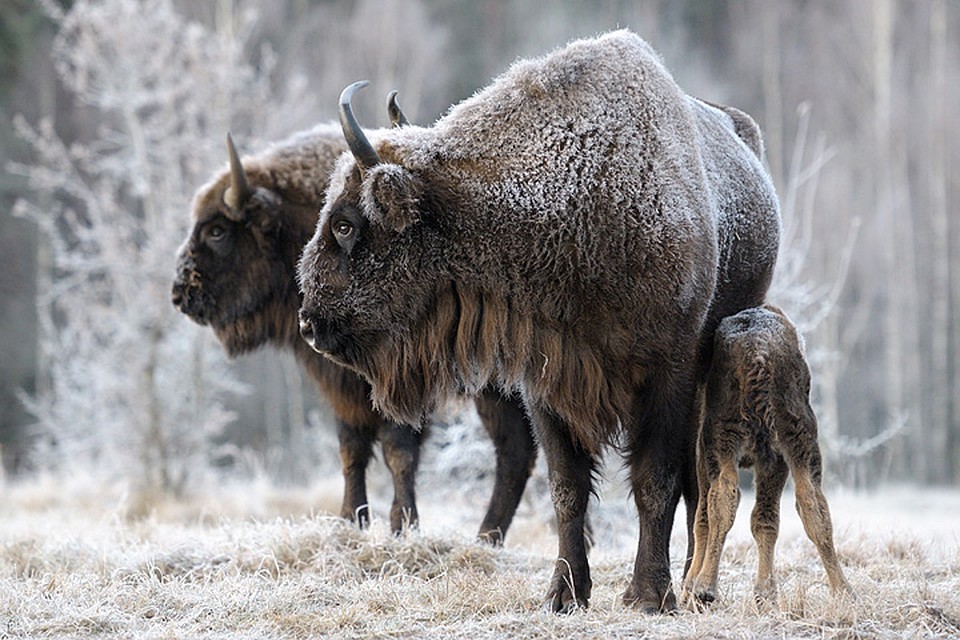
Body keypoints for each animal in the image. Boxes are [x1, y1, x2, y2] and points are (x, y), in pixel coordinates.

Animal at [170, 119, 536, 540]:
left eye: (217, 230)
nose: (180, 293)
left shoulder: (394, 379)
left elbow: (398, 450)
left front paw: (402, 526)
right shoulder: (344, 388)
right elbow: (351, 448)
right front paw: (351, 521)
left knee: (515, 450)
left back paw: (486, 537)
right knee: (516, 450)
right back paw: (487, 540)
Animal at [298, 31, 780, 616]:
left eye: (346, 224)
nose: (308, 322)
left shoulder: (670, 374)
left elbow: (656, 480)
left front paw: (647, 596)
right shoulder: (547, 383)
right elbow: (566, 488)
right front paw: (564, 594)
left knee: (698, 479)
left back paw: (691, 584)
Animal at [684, 304, 856, 604]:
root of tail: (758, 355)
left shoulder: (702, 453)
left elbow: (702, 517)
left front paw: (689, 586)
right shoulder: (775, 460)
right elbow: (766, 520)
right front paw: (765, 593)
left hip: (721, 440)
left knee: (722, 500)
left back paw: (705, 587)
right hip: (797, 439)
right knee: (811, 503)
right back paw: (843, 590)